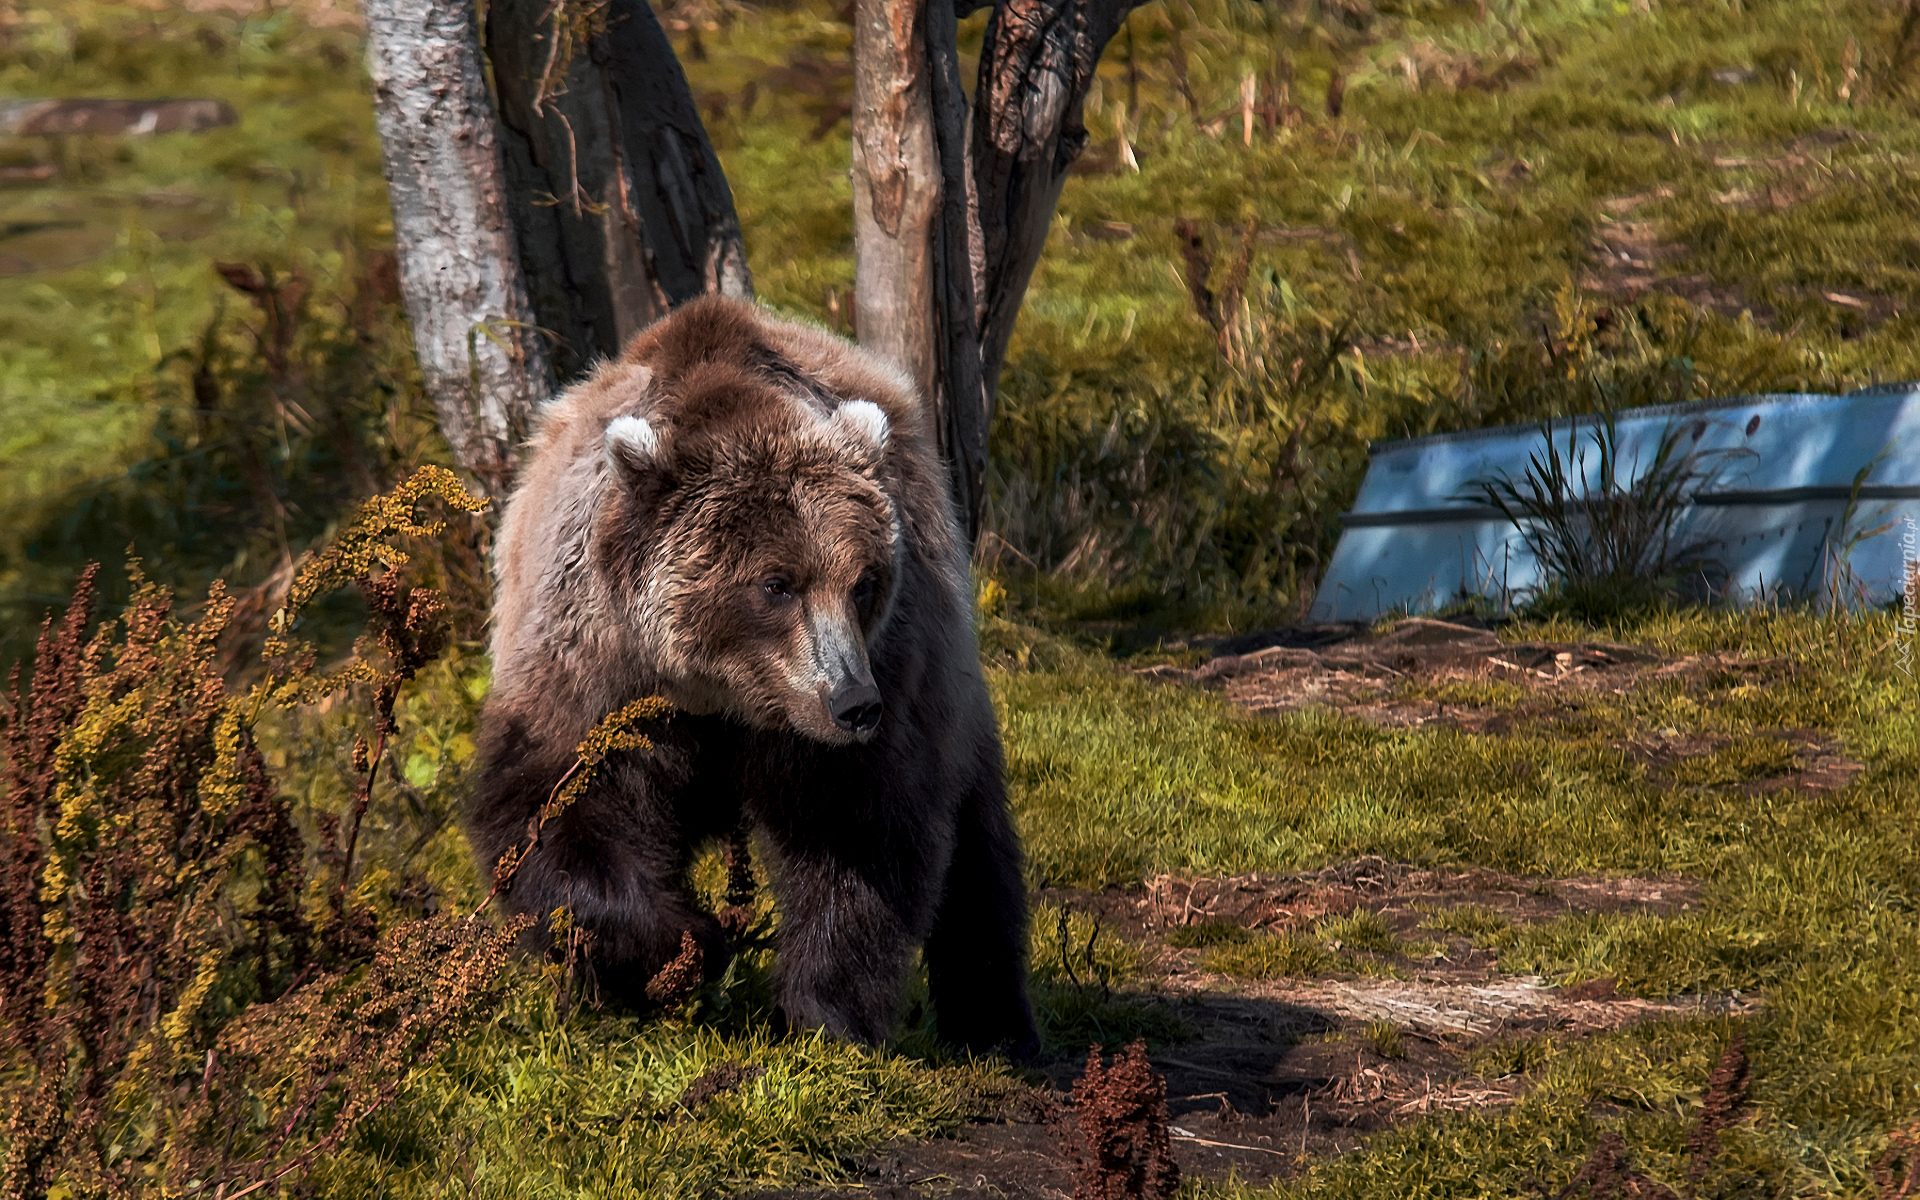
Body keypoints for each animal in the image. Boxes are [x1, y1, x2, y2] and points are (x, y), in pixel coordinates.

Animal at [468, 291, 1036, 1059]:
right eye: (776, 584)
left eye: (863, 582)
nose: (853, 703)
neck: (724, 693)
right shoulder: (598, 671)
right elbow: (554, 809)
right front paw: (687, 948)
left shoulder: (875, 676)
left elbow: (859, 834)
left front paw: (823, 1016)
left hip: (947, 684)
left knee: (978, 854)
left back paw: (997, 1028)